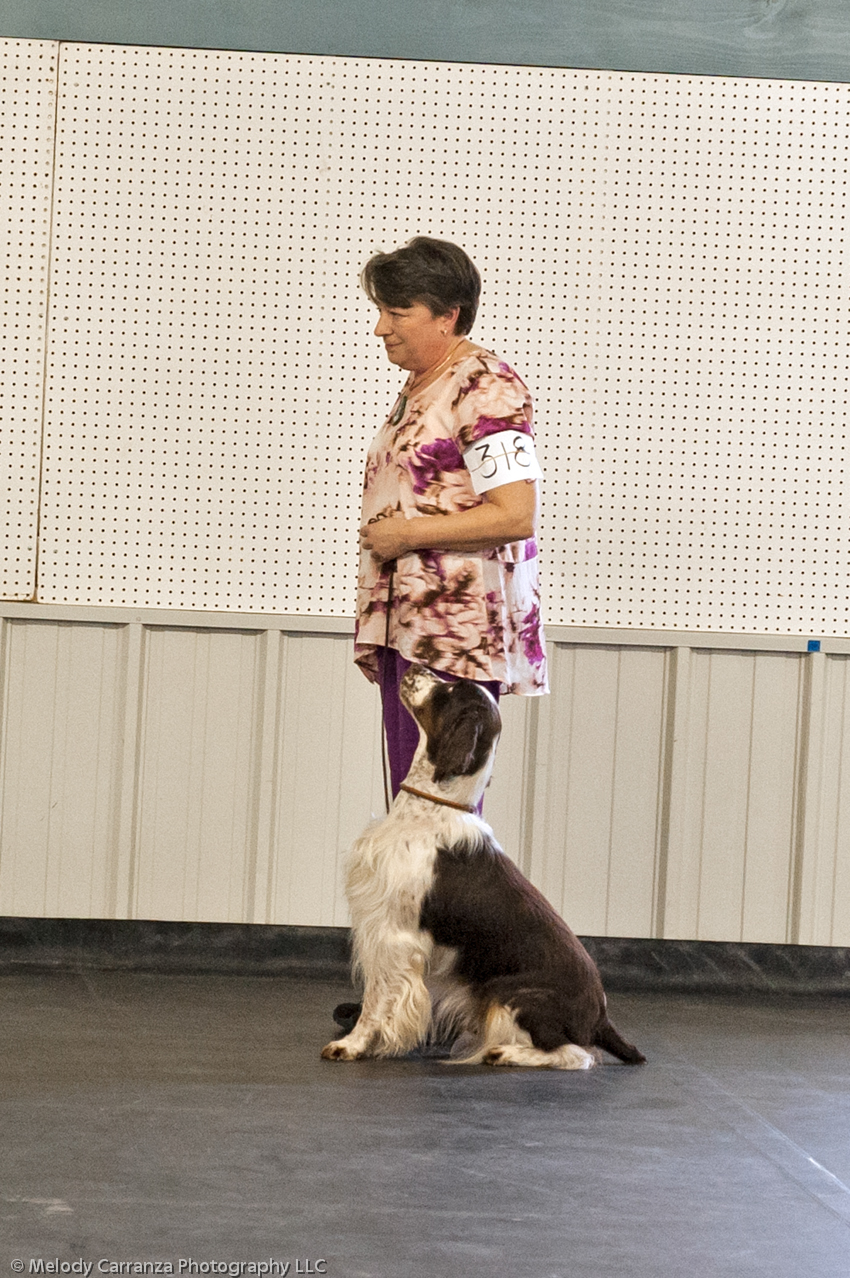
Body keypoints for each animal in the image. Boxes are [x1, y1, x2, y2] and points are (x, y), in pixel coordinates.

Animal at [319, 664, 644, 1073]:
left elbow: (376, 1000)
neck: (429, 809)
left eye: (450, 689)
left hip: (511, 994)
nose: (416, 666)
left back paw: (502, 1052)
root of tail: (601, 1016)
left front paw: (351, 1044)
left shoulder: (394, 934)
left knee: (575, 1054)